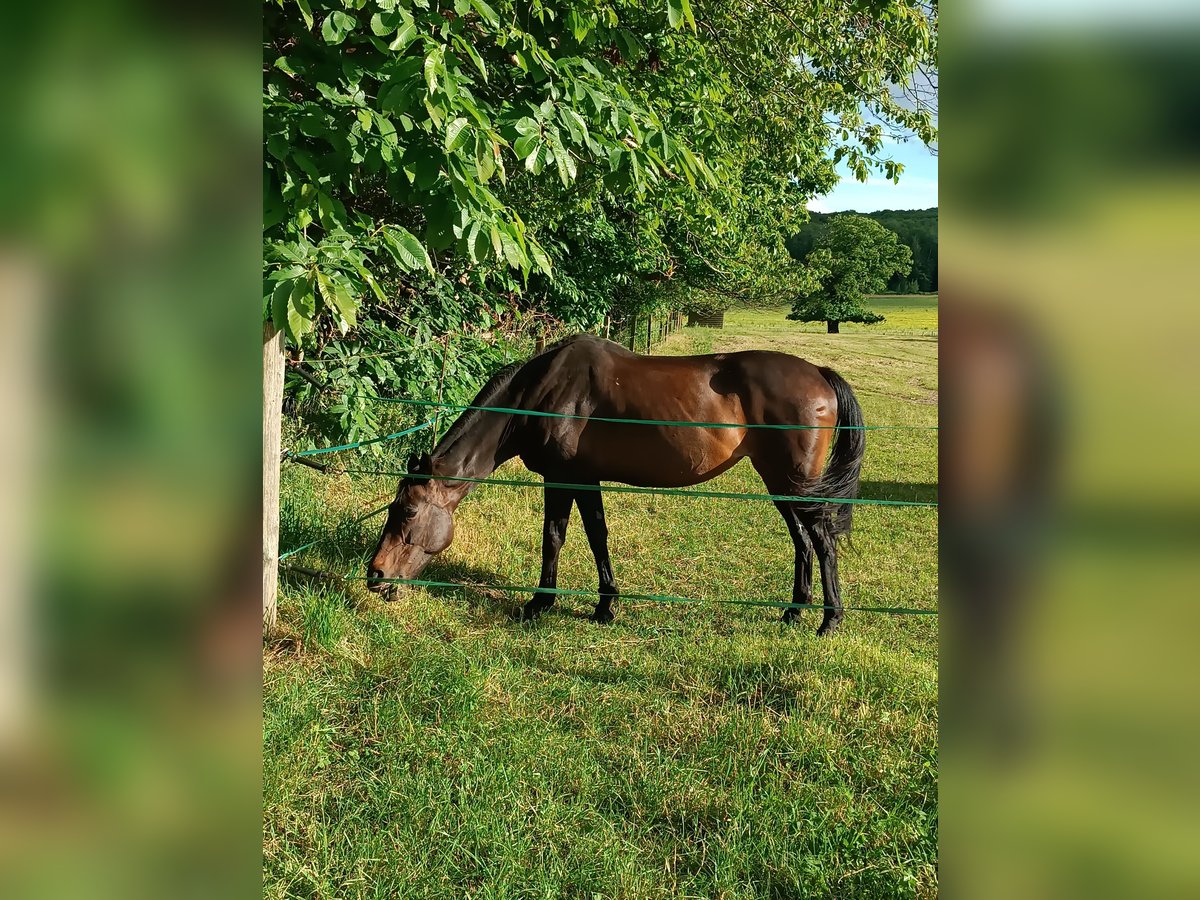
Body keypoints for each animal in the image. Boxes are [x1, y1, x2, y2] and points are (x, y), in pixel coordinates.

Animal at [364, 336, 864, 638]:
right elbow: (596, 535)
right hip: (779, 482)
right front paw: (606, 605)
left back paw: (829, 620)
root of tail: (818, 374)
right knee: (802, 540)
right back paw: (793, 611)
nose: (376, 575)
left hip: (795, 483)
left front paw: (541, 603)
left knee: (822, 541)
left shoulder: (566, 477)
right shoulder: (585, 479)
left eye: (407, 511)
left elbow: (558, 537)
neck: (540, 395)